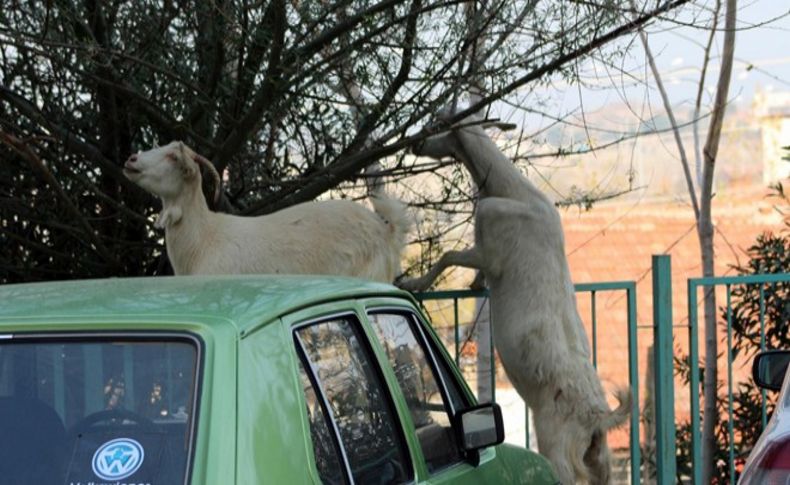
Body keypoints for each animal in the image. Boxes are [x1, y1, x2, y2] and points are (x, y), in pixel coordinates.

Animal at [400, 109, 636, 484]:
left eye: (439, 124)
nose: (415, 143)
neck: (513, 192)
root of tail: (597, 416)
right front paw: (471, 285)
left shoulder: (490, 245)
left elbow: (449, 256)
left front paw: (414, 282)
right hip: (601, 460)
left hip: (558, 443)